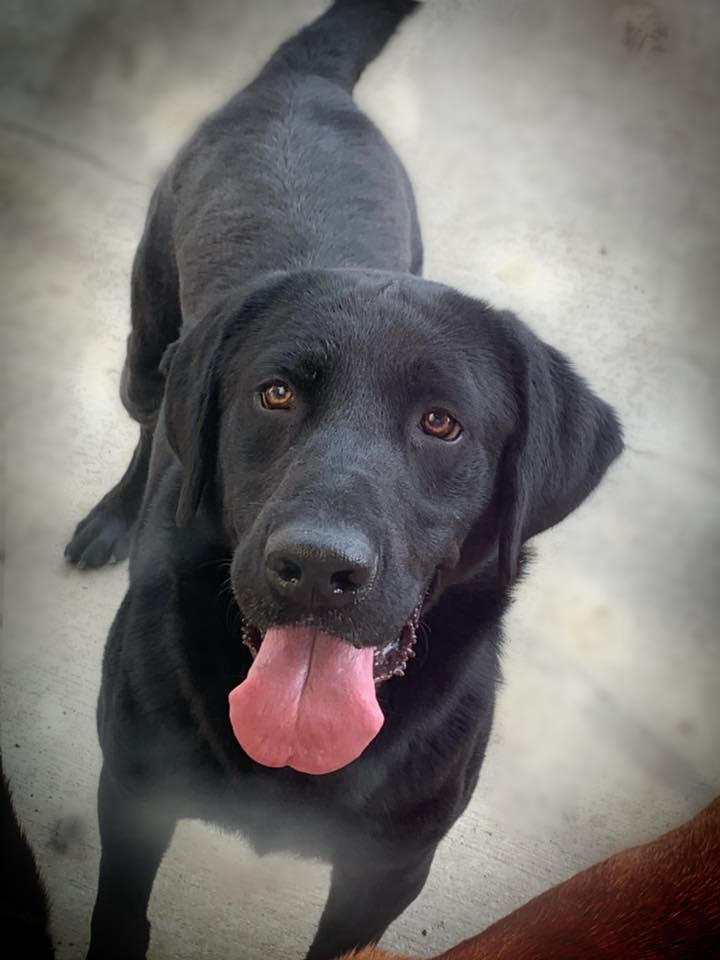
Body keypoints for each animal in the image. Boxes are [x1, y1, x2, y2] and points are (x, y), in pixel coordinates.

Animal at [64, 1, 620, 960]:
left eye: (442, 423)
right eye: (276, 393)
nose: (318, 568)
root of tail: (305, 79)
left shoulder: (391, 870)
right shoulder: (131, 793)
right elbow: (119, 917)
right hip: (147, 339)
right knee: (149, 420)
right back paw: (114, 515)